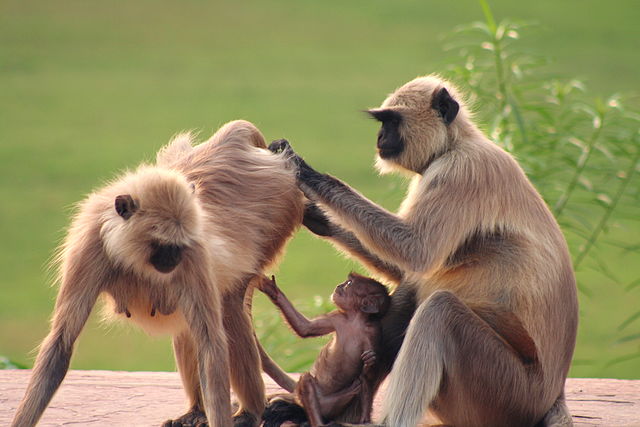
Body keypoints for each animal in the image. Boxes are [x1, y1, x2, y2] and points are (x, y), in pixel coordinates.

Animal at [10, 119, 304, 427]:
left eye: (177, 245)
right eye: (162, 245)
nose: (172, 260)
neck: (133, 256)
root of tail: (232, 140)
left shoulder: (193, 250)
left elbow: (211, 344)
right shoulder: (91, 245)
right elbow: (61, 342)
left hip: (276, 217)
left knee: (228, 309)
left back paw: (249, 412)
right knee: (191, 324)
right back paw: (197, 410)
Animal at [268, 77, 576, 427]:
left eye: (391, 122)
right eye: (382, 122)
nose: (379, 137)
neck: (455, 144)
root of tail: (553, 394)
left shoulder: (460, 171)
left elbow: (417, 252)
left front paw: (302, 169)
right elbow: (410, 267)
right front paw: (318, 217)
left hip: (507, 393)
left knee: (438, 309)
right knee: (412, 291)